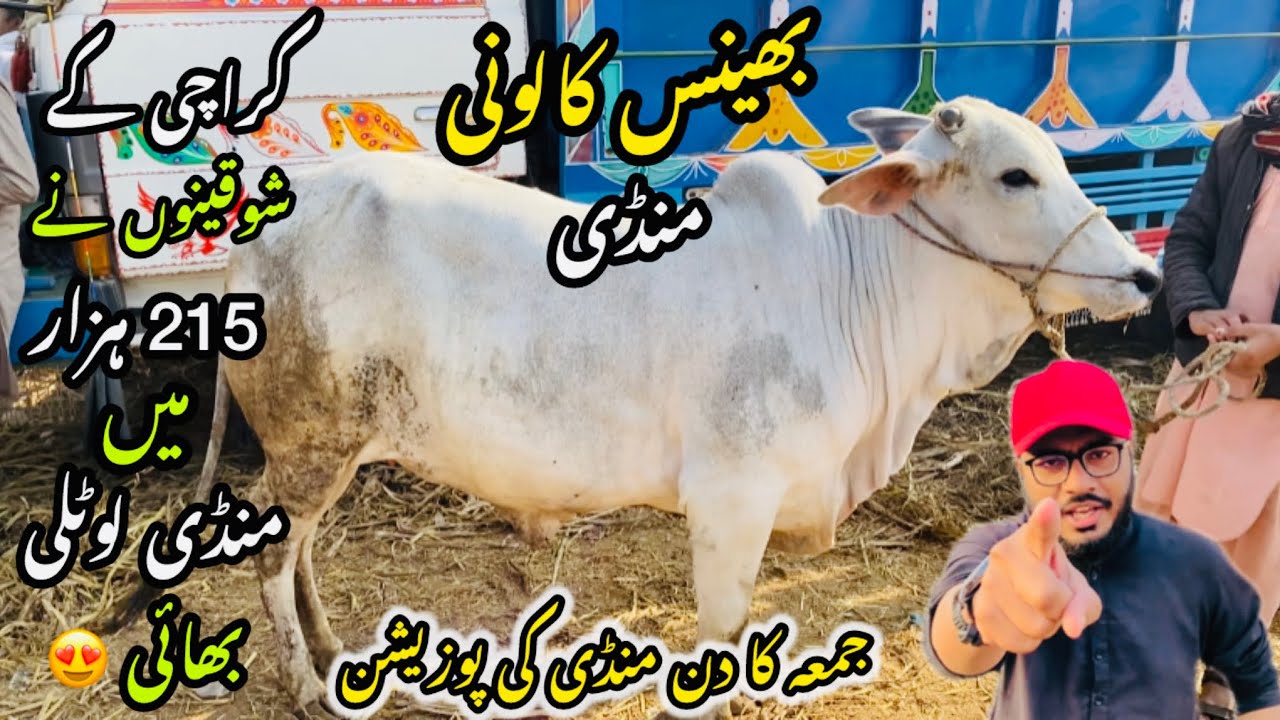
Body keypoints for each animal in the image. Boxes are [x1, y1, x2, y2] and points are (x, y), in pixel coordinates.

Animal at [105, 96, 1161, 718]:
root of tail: (263, 228)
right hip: (311, 444)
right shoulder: (732, 502)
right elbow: (722, 633)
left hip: (330, 451)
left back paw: (330, 653)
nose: (1143, 275)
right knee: (274, 559)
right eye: (1016, 175)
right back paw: (302, 685)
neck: (853, 287)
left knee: (303, 552)